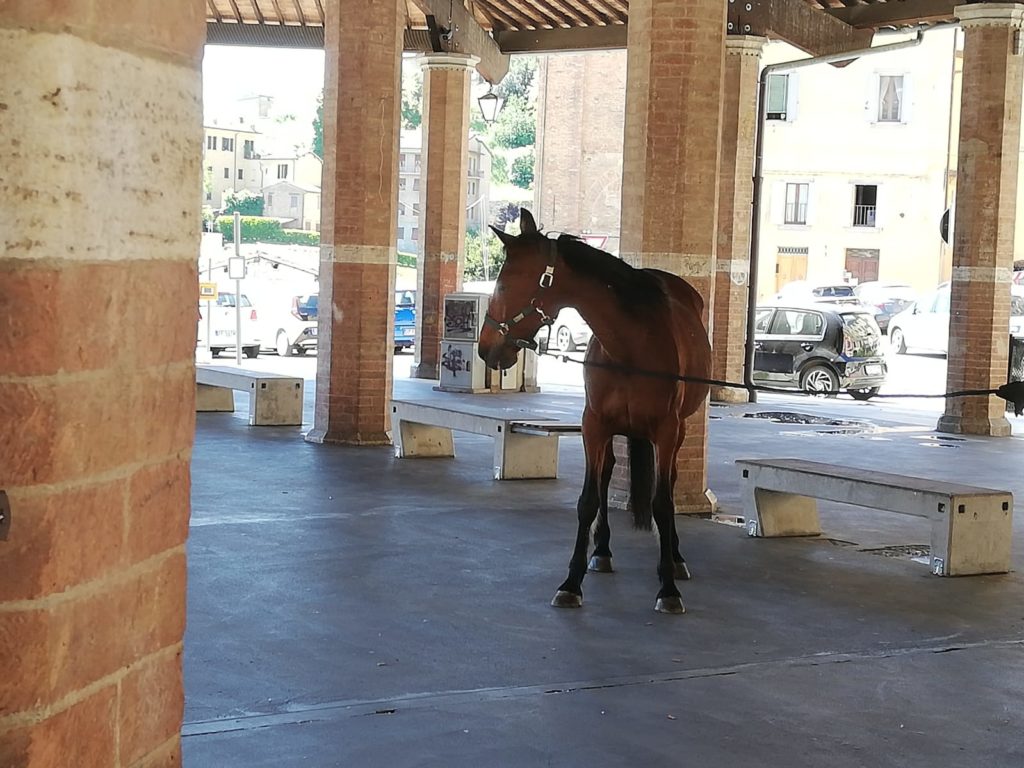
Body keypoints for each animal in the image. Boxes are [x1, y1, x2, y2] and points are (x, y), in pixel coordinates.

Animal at [479, 208, 712, 614]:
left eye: (504, 286)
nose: (484, 346)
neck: (631, 348)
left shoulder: (667, 431)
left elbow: (663, 503)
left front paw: (667, 586)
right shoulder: (594, 425)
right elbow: (588, 500)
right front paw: (571, 583)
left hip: (679, 429)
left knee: (668, 484)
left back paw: (676, 557)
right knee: (605, 476)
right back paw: (601, 550)